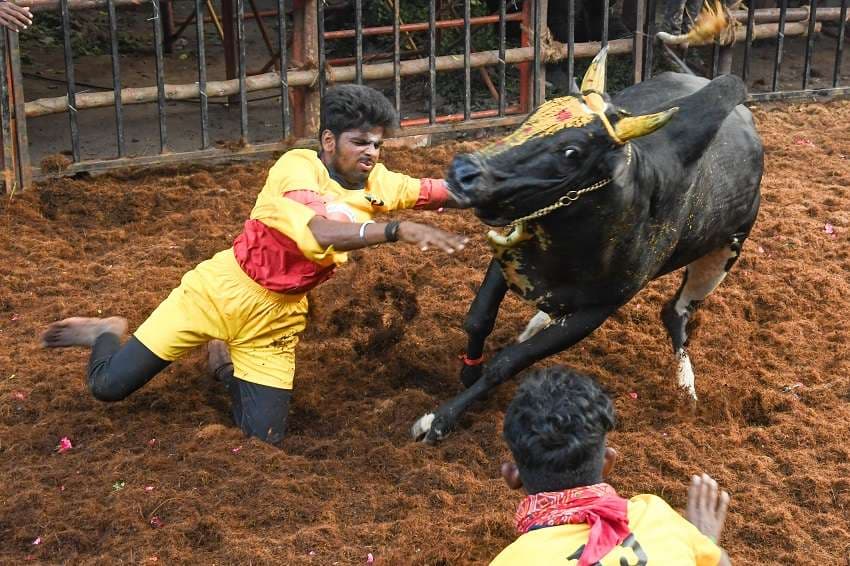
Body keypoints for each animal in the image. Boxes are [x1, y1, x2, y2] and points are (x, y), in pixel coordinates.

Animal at [410, 63, 760, 444]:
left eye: (571, 152)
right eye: (535, 113)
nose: (463, 172)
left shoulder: (597, 309)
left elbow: (510, 361)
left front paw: (439, 419)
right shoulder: (510, 254)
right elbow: (478, 319)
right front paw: (468, 373)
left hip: (725, 251)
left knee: (676, 312)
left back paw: (686, 387)